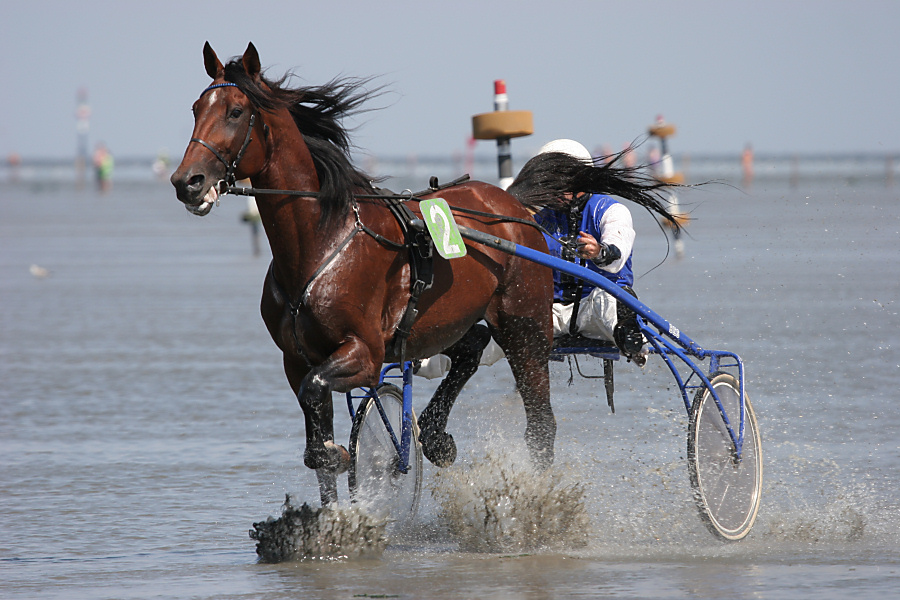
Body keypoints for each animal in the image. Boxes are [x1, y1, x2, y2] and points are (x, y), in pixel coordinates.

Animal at [171, 41, 556, 506]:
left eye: (236, 110)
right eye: (196, 108)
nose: (186, 181)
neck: (320, 243)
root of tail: (513, 205)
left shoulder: (365, 353)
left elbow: (319, 398)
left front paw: (342, 456)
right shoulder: (295, 359)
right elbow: (315, 428)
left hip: (525, 328)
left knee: (541, 425)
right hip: (448, 322)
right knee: (473, 347)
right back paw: (436, 435)